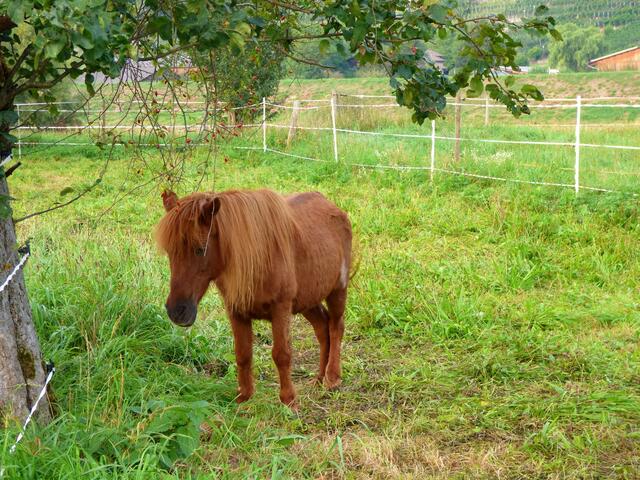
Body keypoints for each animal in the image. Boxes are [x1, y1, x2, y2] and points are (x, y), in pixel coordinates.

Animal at [155, 189, 352, 407]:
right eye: (169, 251)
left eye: (200, 249)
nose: (177, 311)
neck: (259, 257)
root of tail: (333, 208)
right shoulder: (236, 310)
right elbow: (243, 354)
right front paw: (244, 396)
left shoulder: (281, 309)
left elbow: (282, 354)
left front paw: (288, 400)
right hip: (308, 300)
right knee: (322, 328)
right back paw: (318, 378)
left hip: (337, 290)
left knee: (335, 327)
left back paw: (332, 378)